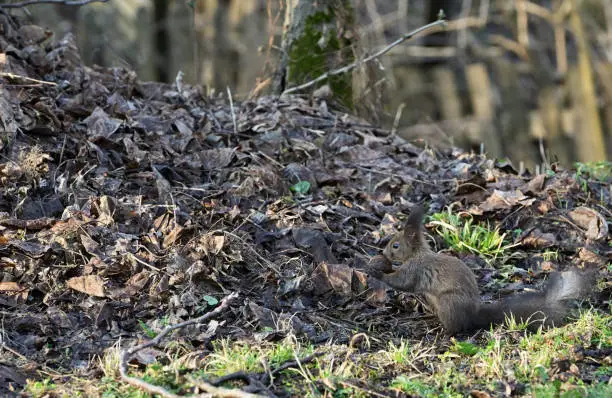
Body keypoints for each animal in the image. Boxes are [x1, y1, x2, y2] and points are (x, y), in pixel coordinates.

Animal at [366, 205, 596, 336]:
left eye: (396, 245)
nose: (383, 252)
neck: (417, 254)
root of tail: (473, 315)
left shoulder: (416, 269)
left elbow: (403, 282)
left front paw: (379, 272)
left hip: (449, 303)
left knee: (457, 328)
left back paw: (444, 331)